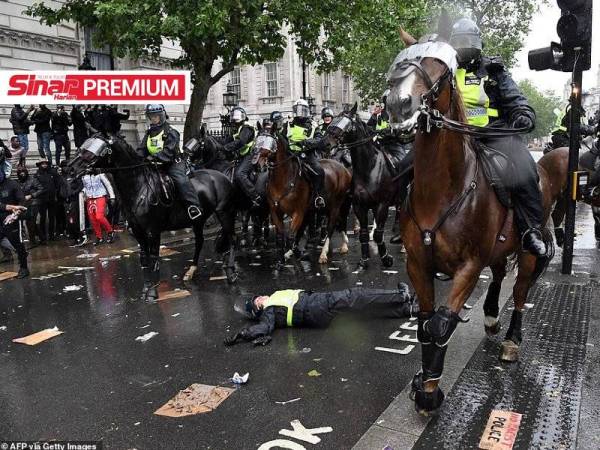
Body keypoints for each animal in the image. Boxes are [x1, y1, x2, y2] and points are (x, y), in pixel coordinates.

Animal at [69, 134, 238, 302]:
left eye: (95, 149)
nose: (69, 168)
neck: (139, 187)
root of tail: (223, 176)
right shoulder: (138, 232)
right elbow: (144, 259)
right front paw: (146, 289)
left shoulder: (153, 231)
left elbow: (154, 258)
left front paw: (152, 292)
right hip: (198, 220)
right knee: (200, 242)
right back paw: (191, 270)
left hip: (225, 213)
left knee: (231, 238)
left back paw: (231, 271)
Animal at [256, 130, 352, 268]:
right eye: (257, 140)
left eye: (270, 143)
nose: (258, 164)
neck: (283, 179)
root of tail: (344, 169)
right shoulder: (276, 212)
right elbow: (282, 236)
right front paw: (281, 260)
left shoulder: (298, 212)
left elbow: (291, 236)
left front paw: (297, 254)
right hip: (321, 208)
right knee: (337, 222)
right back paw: (343, 244)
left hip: (335, 205)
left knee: (331, 227)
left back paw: (323, 254)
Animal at [326, 103, 410, 268]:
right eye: (335, 119)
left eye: (345, 123)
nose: (326, 143)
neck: (369, 169)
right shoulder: (360, 205)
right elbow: (364, 234)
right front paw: (364, 259)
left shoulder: (382, 205)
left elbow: (378, 234)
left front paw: (386, 258)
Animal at [390, 35, 568, 414]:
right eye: (400, 61)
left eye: (441, 71)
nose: (398, 104)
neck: (443, 190)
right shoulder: (418, 265)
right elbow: (425, 324)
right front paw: (424, 381)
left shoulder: (468, 267)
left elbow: (441, 324)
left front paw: (430, 392)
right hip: (500, 248)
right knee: (499, 275)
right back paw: (490, 315)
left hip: (527, 250)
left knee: (520, 291)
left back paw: (512, 339)